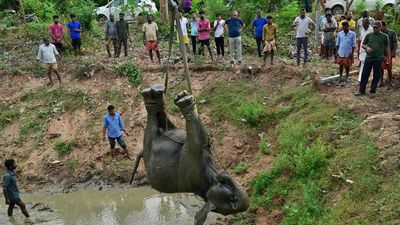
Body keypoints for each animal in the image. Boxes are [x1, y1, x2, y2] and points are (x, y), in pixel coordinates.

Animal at [130, 84, 250, 225]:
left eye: (233, 199)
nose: (223, 176)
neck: (208, 182)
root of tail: (142, 152)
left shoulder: (193, 161)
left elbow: (195, 136)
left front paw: (186, 103)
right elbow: (203, 138)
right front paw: (184, 97)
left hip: (148, 145)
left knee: (153, 123)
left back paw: (154, 97)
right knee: (164, 120)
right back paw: (159, 93)